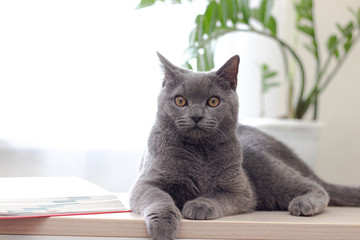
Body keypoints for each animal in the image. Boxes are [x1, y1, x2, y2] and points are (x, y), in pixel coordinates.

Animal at [130, 53, 360, 240]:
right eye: (180, 100)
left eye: (213, 101)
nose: (196, 116)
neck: (198, 152)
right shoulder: (146, 182)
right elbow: (158, 197)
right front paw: (163, 227)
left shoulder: (240, 190)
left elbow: (218, 196)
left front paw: (199, 205)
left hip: (264, 166)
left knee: (316, 187)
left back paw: (304, 204)